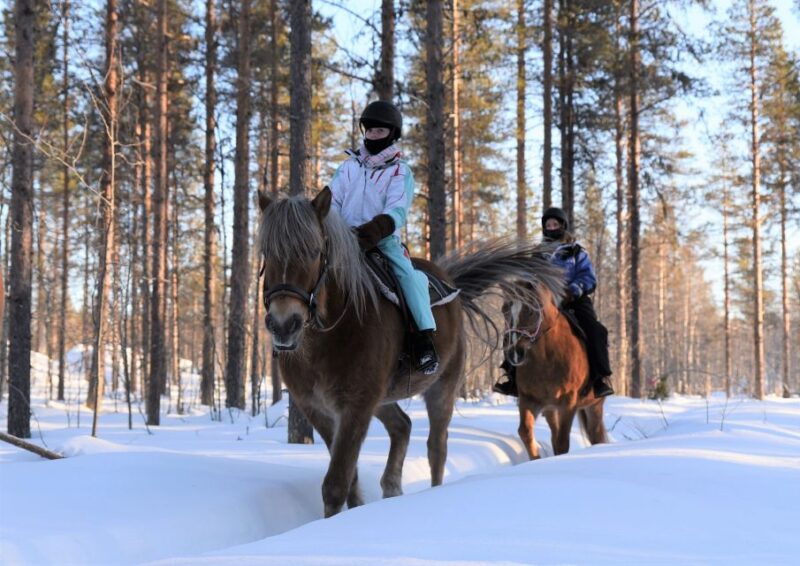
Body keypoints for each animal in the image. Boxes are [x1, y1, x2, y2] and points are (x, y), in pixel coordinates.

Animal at [257, 187, 563, 517]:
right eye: (266, 253)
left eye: (314, 251)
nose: (283, 324)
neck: (327, 339)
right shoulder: (318, 409)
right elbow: (350, 479)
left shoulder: (356, 407)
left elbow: (336, 483)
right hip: (383, 397)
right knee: (402, 426)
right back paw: (392, 487)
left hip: (441, 389)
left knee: (436, 448)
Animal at [503, 280, 608, 459]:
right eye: (504, 311)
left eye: (530, 310)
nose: (515, 353)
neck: (547, 358)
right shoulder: (528, 399)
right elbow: (525, 432)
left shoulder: (568, 402)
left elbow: (562, 442)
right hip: (550, 409)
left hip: (594, 405)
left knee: (595, 435)